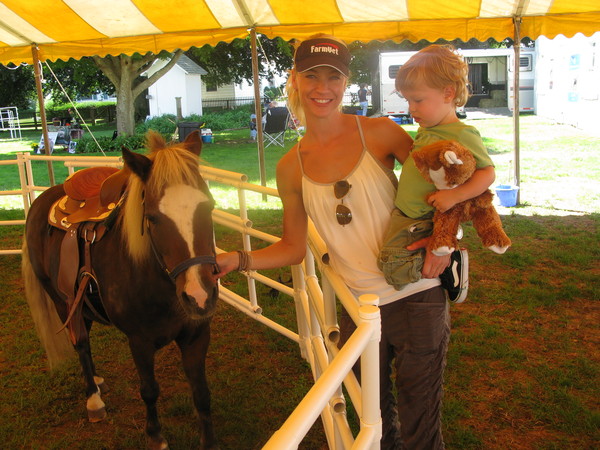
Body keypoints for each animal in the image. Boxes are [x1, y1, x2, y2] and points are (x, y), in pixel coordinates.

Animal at [23, 131, 221, 450]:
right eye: (152, 218)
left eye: (209, 206)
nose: (199, 295)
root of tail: (43, 198)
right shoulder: (139, 342)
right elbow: (149, 390)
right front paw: (155, 436)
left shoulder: (197, 334)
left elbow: (201, 392)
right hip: (62, 302)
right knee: (80, 342)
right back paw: (93, 399)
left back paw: (95, 379)